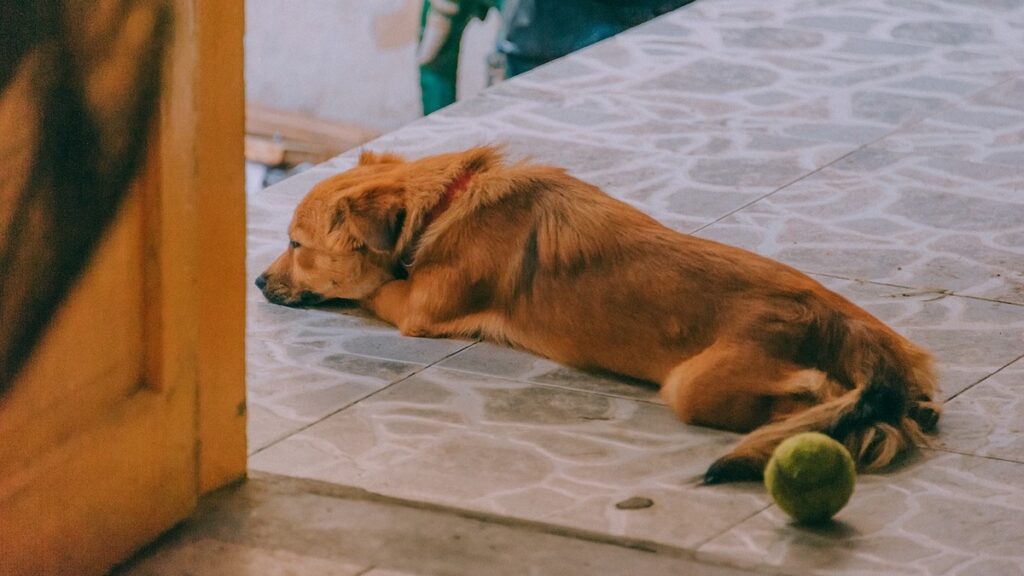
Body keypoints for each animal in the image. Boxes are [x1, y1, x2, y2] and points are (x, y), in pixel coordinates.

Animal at [260, 145, 937, 481]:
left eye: (296, 245)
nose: (259, 282)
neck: (448, 200)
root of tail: (843, 325)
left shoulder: (416, 308)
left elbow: (373, 287)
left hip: (692, 385)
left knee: (818, 396)